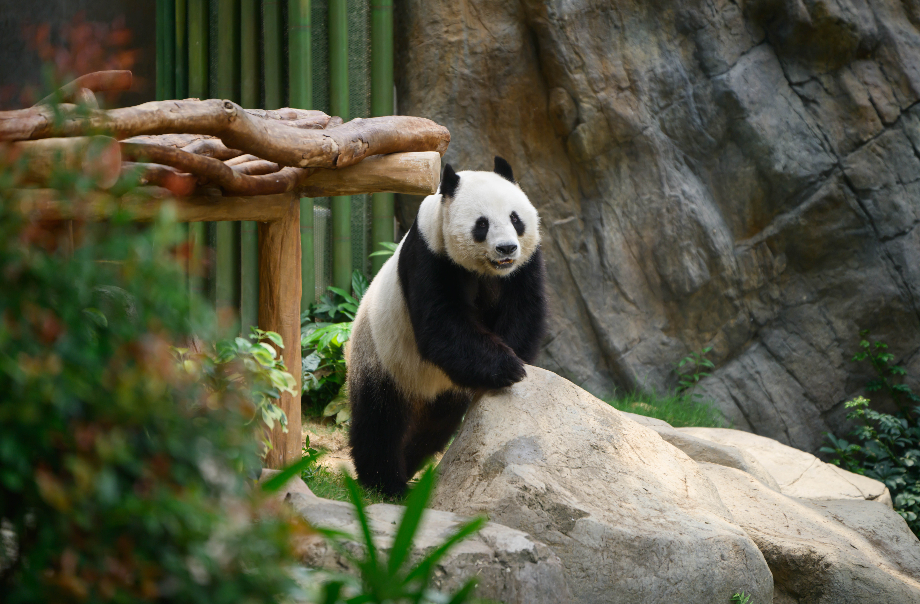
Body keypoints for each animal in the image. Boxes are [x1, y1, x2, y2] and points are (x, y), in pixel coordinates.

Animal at [346, 156, 548, 496]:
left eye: (515, 218)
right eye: (482, 224)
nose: (507, 248)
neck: (486, 270)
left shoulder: (525, 264)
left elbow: (523, 312)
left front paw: (514, 363)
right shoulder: (429, 254)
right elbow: (440, 324)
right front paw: (509, 368)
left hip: (443, 388)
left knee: (434, 427)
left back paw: (409, 464)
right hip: (380, 354)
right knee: (379, 420)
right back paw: (387, 483)